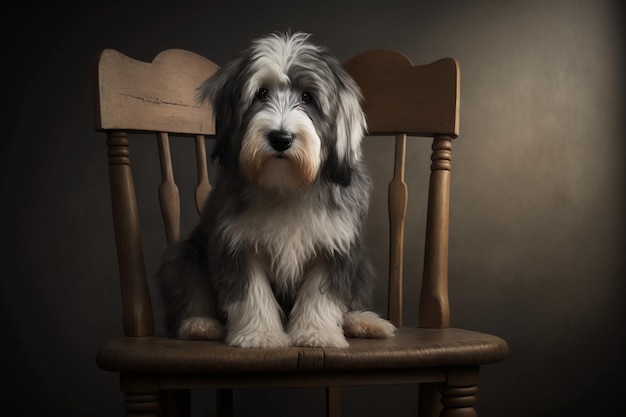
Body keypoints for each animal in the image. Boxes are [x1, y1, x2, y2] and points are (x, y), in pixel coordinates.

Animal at [158, 30, 392, 346]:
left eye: (307, 97)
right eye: (261, 93)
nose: (281, 138)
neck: (286, 186)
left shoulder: (335, 244)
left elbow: (321, 294)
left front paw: (315, 333)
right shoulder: (235, 243)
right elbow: (252, 293)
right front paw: (261, 335)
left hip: (363, 264)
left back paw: (363, 321)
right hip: (184, 257)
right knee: (191, 288)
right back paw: (199, 324)